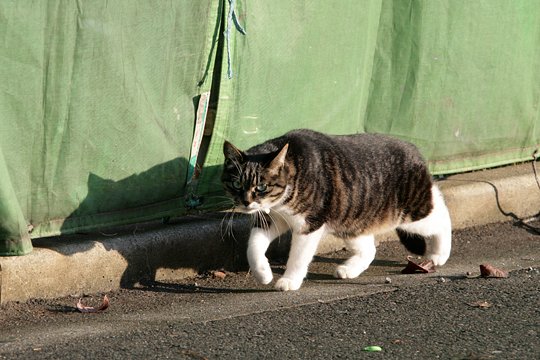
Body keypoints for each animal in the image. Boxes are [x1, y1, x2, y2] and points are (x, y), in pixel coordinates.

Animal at [220, 128, 452, 292]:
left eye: (261, 187)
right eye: (237, 184)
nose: (246, 202)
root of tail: (414, 149)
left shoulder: (309, 224)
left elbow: (299, 256)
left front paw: (289, 280)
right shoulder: (272, 219)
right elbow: (253, 246)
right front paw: (263, 273)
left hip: (411, 213)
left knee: (442, 215)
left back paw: (439, 254)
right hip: (351, 219)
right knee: (370, 249)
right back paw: (349, 269)